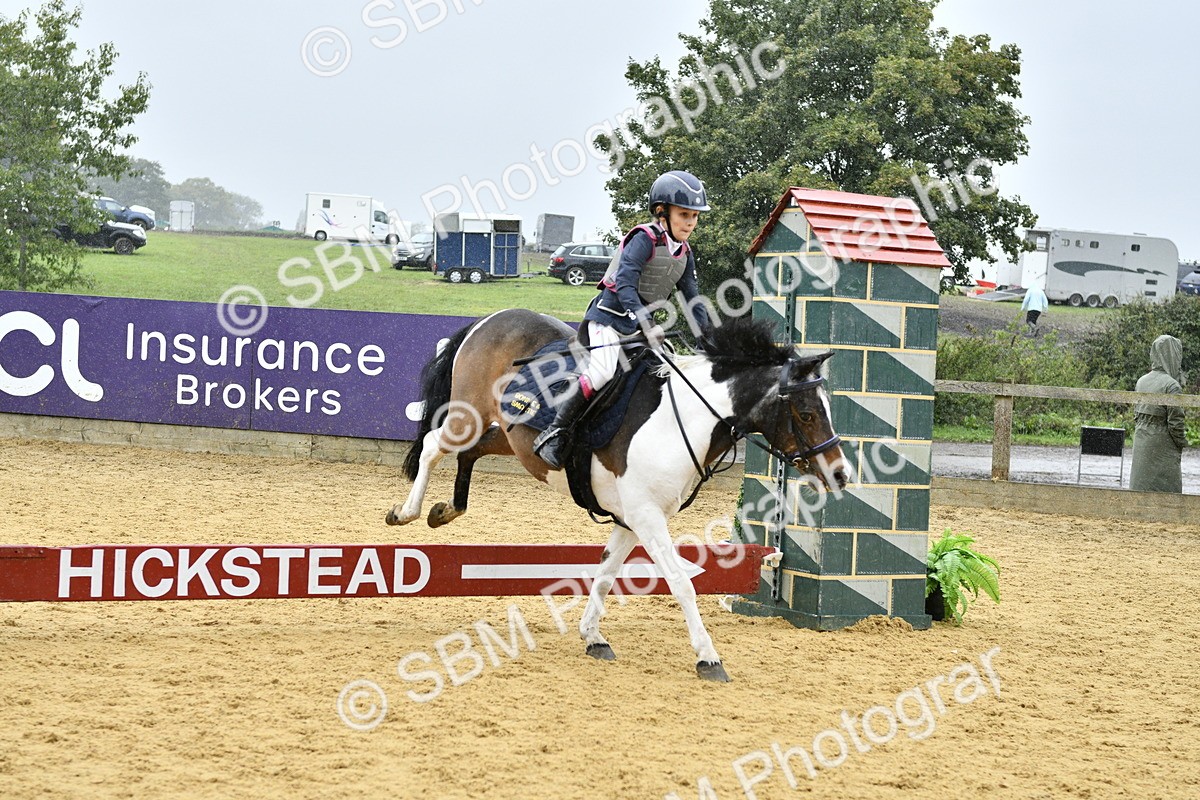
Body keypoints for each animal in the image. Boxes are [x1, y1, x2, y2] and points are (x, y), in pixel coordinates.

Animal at [387, 309, 847, 681]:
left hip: (508, 435)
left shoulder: (631, 518)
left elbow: (606, 575)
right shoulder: (646, 517)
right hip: (468, 415)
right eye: (807, 413)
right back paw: (406, 512)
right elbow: (681, 583)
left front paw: (593, 636)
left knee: (472, 451)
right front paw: (708, 658)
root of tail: (491, 319)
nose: (840, 474)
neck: (685, 419)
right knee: (433, 445)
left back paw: (446, 510)